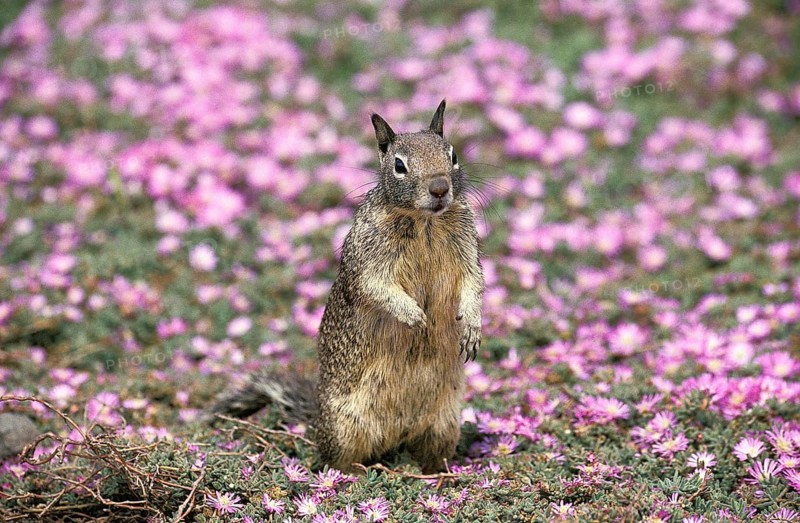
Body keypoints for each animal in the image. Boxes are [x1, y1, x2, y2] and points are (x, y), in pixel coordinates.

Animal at [208, 100, 484, 474]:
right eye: (399, 165)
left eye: (452, 155)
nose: (440, 188)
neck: (424, 221)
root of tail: (396, 437)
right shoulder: (367, 260)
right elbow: (376, 288)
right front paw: (414, 317)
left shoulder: (467, 246)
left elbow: (473, 284)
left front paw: (472, 327)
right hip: (344, 427)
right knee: (336, 460)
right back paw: (357, 473)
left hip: (443, 425)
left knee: (428, 455)